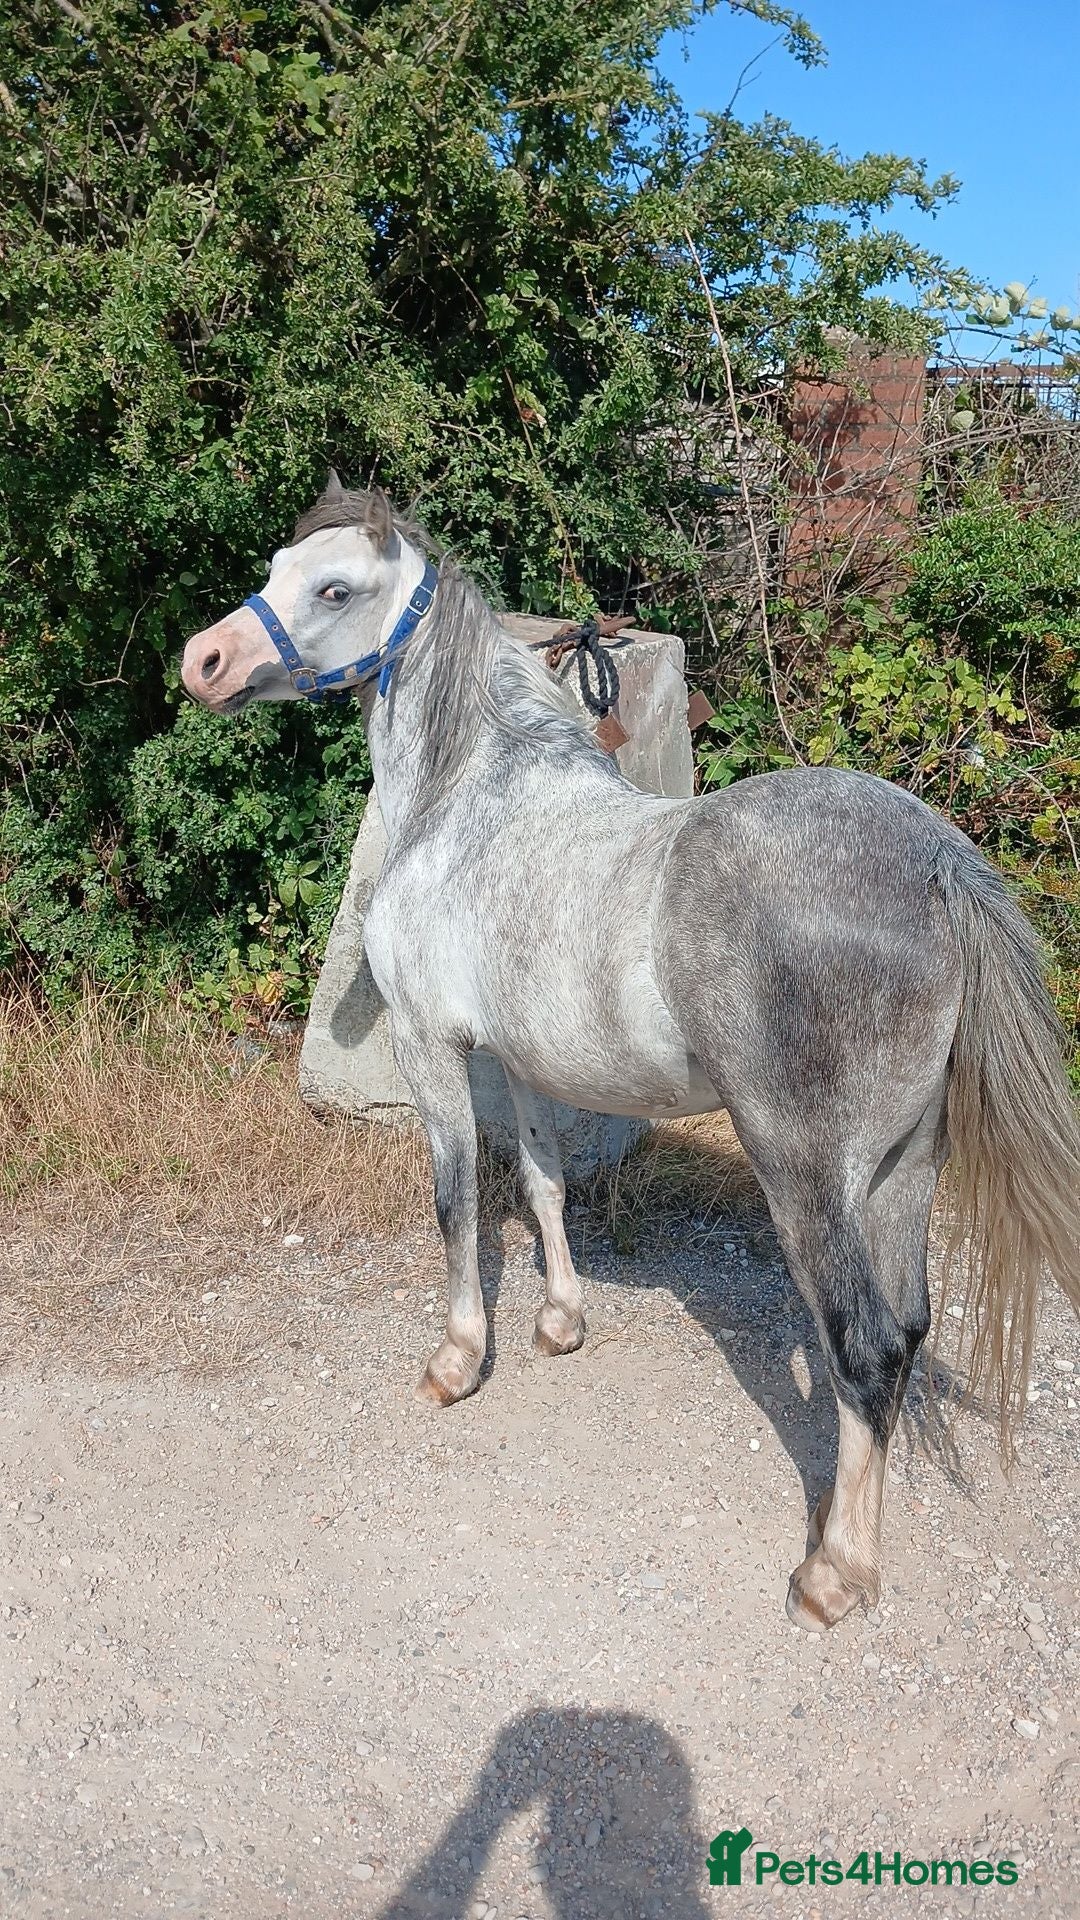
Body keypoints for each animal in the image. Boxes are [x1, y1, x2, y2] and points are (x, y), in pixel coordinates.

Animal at [181, 476, 1080, 1632]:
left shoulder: (434, 1050)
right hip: (904, 1169)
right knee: (907, 1333)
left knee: (865, 1348)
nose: (205, 660)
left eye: (333, 587)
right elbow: (544, 1185)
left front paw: (456, 1361)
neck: (474, 800)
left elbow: (456, 1203)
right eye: (277, 570)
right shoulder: (517, 1062)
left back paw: (834, 1573)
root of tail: (937, 861)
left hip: (807, 1176)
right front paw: (560, 1322)